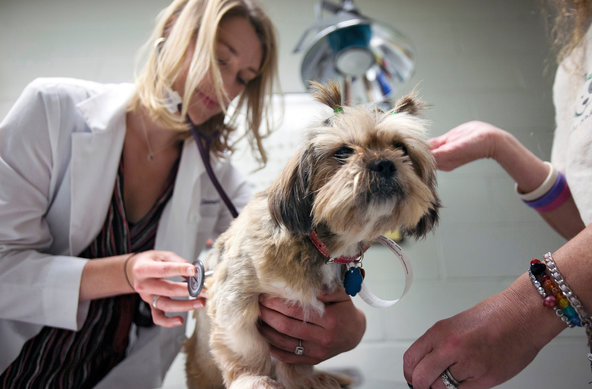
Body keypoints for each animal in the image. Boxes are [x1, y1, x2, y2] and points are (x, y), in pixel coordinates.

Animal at [185, 82, 440, 388]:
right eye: (343, 152)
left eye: (401, 147)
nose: (385, 163)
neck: (321, 246)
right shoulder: (235, 296)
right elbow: (247, 347)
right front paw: (253, 379)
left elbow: (295, 361)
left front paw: (304, 380)